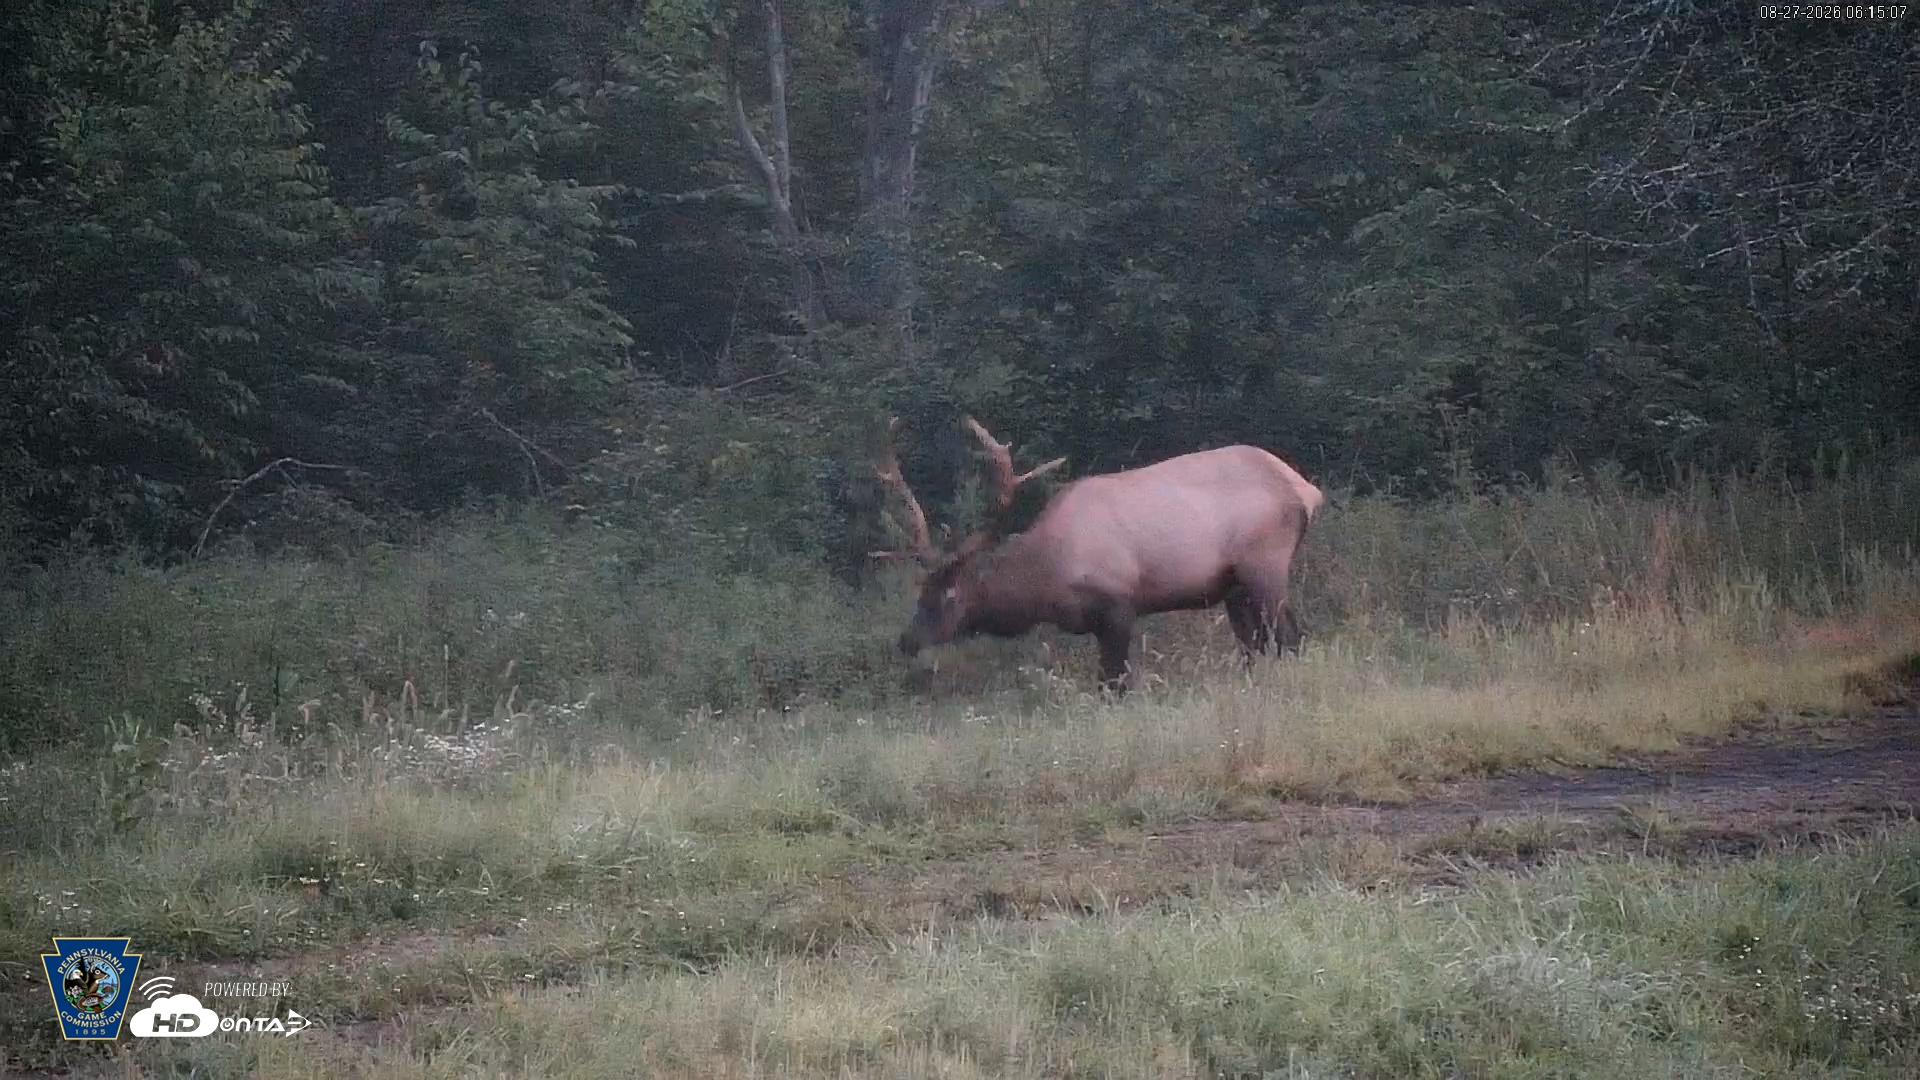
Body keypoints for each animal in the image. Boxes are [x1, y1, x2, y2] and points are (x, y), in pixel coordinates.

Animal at [870, 416, 1324, 694]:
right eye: (920, 593)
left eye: (949, 595)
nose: (907, 641)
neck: (1047, 581)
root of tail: (1305, 489)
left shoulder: (1119, 605)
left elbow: (1114, 685)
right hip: (1234, 587)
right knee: (1257, 647)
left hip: (1265, 563)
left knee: (1291, 638)